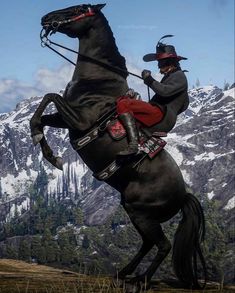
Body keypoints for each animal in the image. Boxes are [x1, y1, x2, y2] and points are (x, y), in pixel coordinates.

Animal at [30, 3, 207, 288]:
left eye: (79, 8)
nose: (47, 18)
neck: (99, 78)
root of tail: (183, 195)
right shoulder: (67, 121)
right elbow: (40, 117)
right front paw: (49, 154)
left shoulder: (81, 120)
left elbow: (49, 96)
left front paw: (49, 153)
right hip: (135, 211)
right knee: (148, 244)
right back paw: (123, 273)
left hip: (142, 214)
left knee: (163, 245)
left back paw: (141, 279)